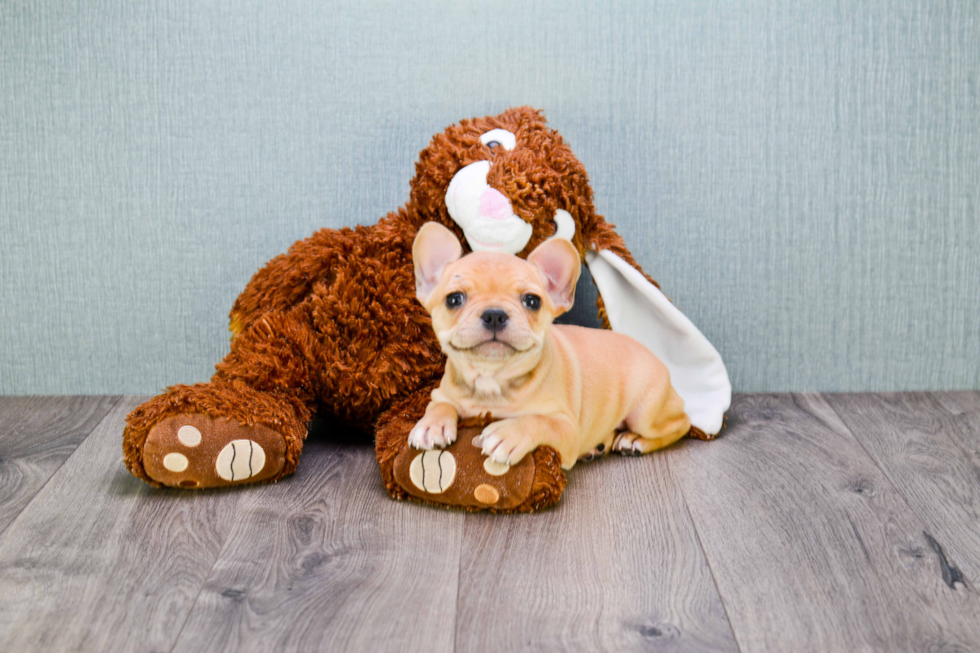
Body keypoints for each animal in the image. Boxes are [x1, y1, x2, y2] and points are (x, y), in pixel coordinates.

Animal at [406, 223, 688, 468]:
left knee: (679, 426)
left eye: (532, 301)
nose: (494, 314)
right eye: (454, 299)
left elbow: (540, 421)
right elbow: (440, 405)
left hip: (646, 413)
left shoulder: (567, 429)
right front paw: (431, 425)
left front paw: (509, 433)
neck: (492, 378)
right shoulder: (443, 393)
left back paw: (634, 440)